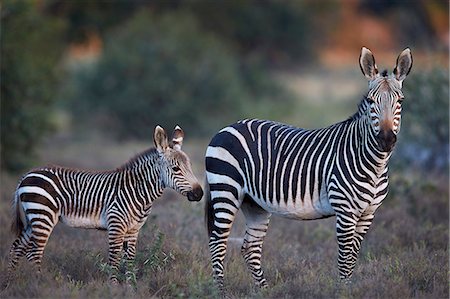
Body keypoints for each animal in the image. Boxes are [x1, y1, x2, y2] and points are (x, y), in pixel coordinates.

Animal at [6, 125, 203, 288]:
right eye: (176, 169)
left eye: (191, 166)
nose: (199, 194)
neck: (137, 191)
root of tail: (26, 176)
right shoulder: (116, 225)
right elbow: (114, 259)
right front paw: (113, 288)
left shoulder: (133, 230)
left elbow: (130, 260)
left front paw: (130, 288)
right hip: (43, 216)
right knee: (34, 252)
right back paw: (40, 283)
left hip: (33, 218)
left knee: (17, 248)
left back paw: (9, 284)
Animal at [206, 48, 414, 292]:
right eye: (371, 101)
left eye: (400, 100)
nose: (386, 140)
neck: (374, 164)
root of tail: (226, 127)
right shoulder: (345, 211)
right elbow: (345, 259)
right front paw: (343, 292)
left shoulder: (368, 213)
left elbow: (353, 257)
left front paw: (350, 289)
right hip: (225, 190)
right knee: (218, 243)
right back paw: (220, 292)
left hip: (254, 203)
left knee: (250, 247)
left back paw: (264, 291)